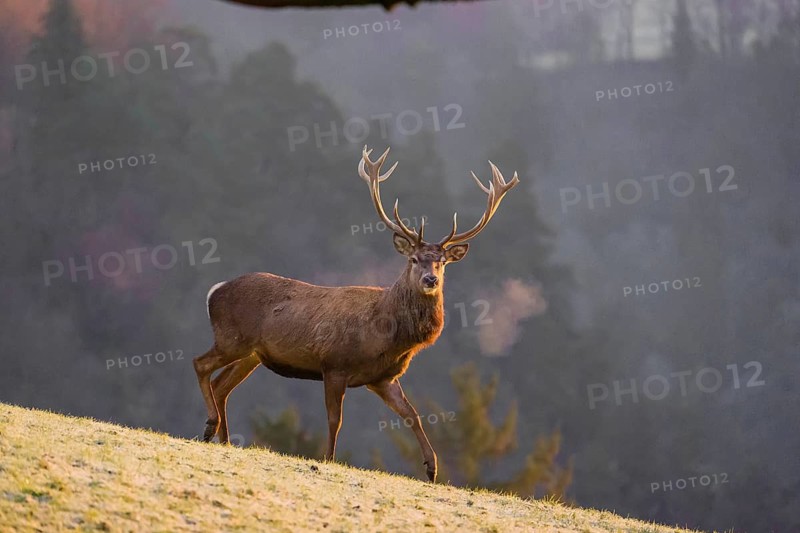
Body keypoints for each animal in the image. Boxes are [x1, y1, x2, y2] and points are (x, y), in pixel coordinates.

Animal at [193, 145, 519, 482]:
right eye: (414, 259)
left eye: (442, 262)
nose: (431, 280)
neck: (386, 333)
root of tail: (214, 291)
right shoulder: (334, 364)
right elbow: (335, 418)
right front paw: (328, 458)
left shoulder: (383, 377)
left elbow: (412, 414)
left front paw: (432, 468)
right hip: (232, 339)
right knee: (200, 364)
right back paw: (210, 426)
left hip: (252, 354)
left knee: (222, 386)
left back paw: (224, 439)